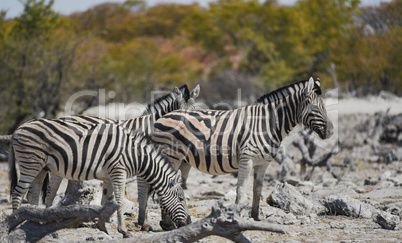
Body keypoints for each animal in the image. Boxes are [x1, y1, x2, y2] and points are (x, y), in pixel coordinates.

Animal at [8, 119, 191, 237]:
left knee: (33, 194)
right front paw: (123, 231)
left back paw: (35, 224)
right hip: (30, 164)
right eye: (181, 199)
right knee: (17, 194)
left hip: (40, 168)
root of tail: (18, 129)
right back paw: (14, 224)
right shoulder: (119, 172)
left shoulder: (108, 177)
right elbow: (119, 200)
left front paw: (102, 227)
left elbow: (106, 200)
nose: (189, 223)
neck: (135, 155)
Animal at [146, 77, 334, 221]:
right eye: (316, 108)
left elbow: (257, 190)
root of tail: (161, 117)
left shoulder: (263, 163)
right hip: (170, 156)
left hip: (181, 160)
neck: (267, 124)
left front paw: (255, 217)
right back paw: (165, 224)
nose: (331, 132)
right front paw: (237, 217)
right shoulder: (247, 159)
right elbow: (241, 191)